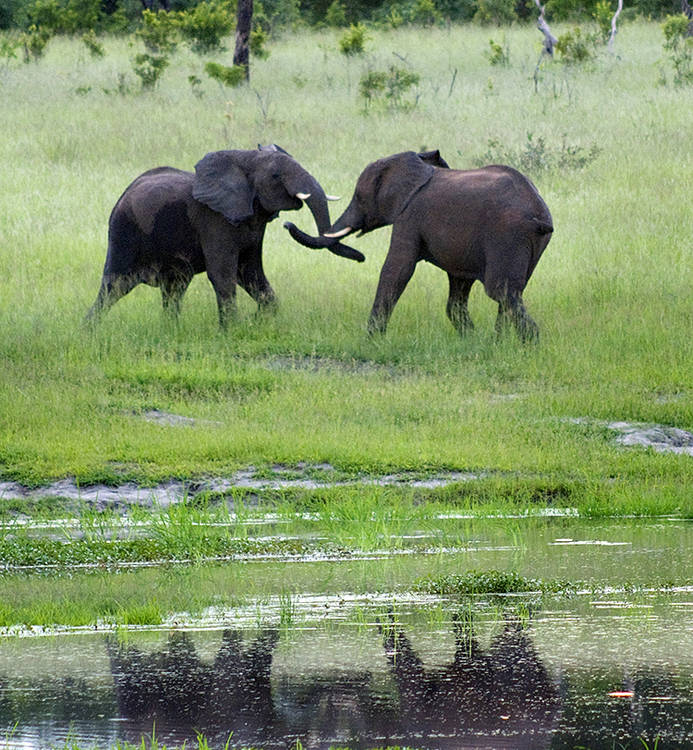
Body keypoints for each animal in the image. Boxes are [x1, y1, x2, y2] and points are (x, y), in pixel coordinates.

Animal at [86, 147, 364, 328]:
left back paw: (171, 329)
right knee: (114, 285)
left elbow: (250, 271)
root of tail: (124, 194)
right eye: (275, 176)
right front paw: (232, 330)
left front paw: (257, 322)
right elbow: (223, 273)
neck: (246, 158)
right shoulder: (214, 220)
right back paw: (89, 330)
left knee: (175, 287)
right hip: (125, 231)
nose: (288, 224)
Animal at [284, 149, 553, 340]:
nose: (287, 223)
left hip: (507, 235)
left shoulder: (409, 214)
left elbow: (397, 270)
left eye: (359, 198)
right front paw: (470, 339)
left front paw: (370, 340)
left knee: (501, 291)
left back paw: (530, 343)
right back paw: (500, 342)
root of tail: (538, 215)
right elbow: (458, 285)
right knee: (512, 293)